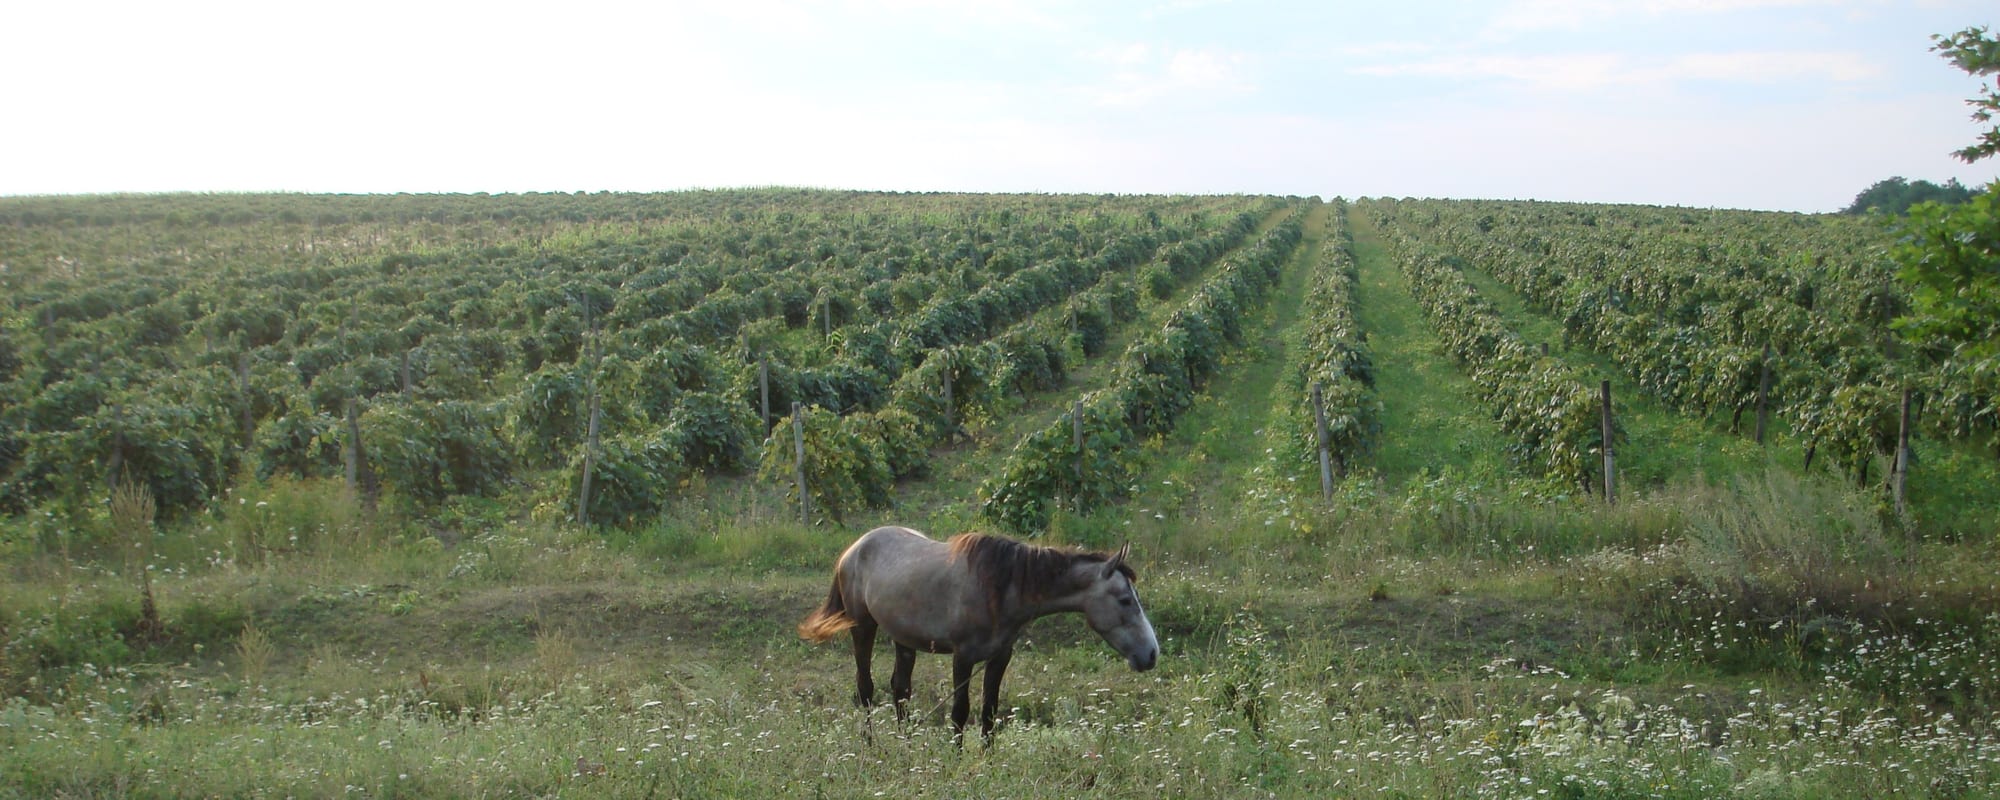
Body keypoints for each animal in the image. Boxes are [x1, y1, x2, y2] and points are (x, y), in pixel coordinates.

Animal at [797, 526, 1160, 740]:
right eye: (1125, 599)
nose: (1151, 654)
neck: (1000, 588)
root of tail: (853, 549)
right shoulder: (963, 657)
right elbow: (960, 713)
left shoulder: (999, 657)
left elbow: (988, 712)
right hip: (862, 629)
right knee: (866, 690)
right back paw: (872, 746)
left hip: (904, 639)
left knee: (900, 690)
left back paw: (906, 744)